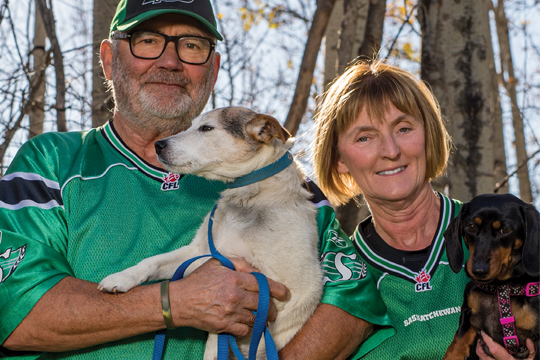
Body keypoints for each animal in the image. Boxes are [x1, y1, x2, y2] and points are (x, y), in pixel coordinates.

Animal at [98, 107, 320, 360]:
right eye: (191, 125)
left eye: (206, 128)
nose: (158, 145)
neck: (247, 197)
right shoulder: (199, 252)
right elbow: (150, 262)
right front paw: (121, 278)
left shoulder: (280, 287)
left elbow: (219, 339)